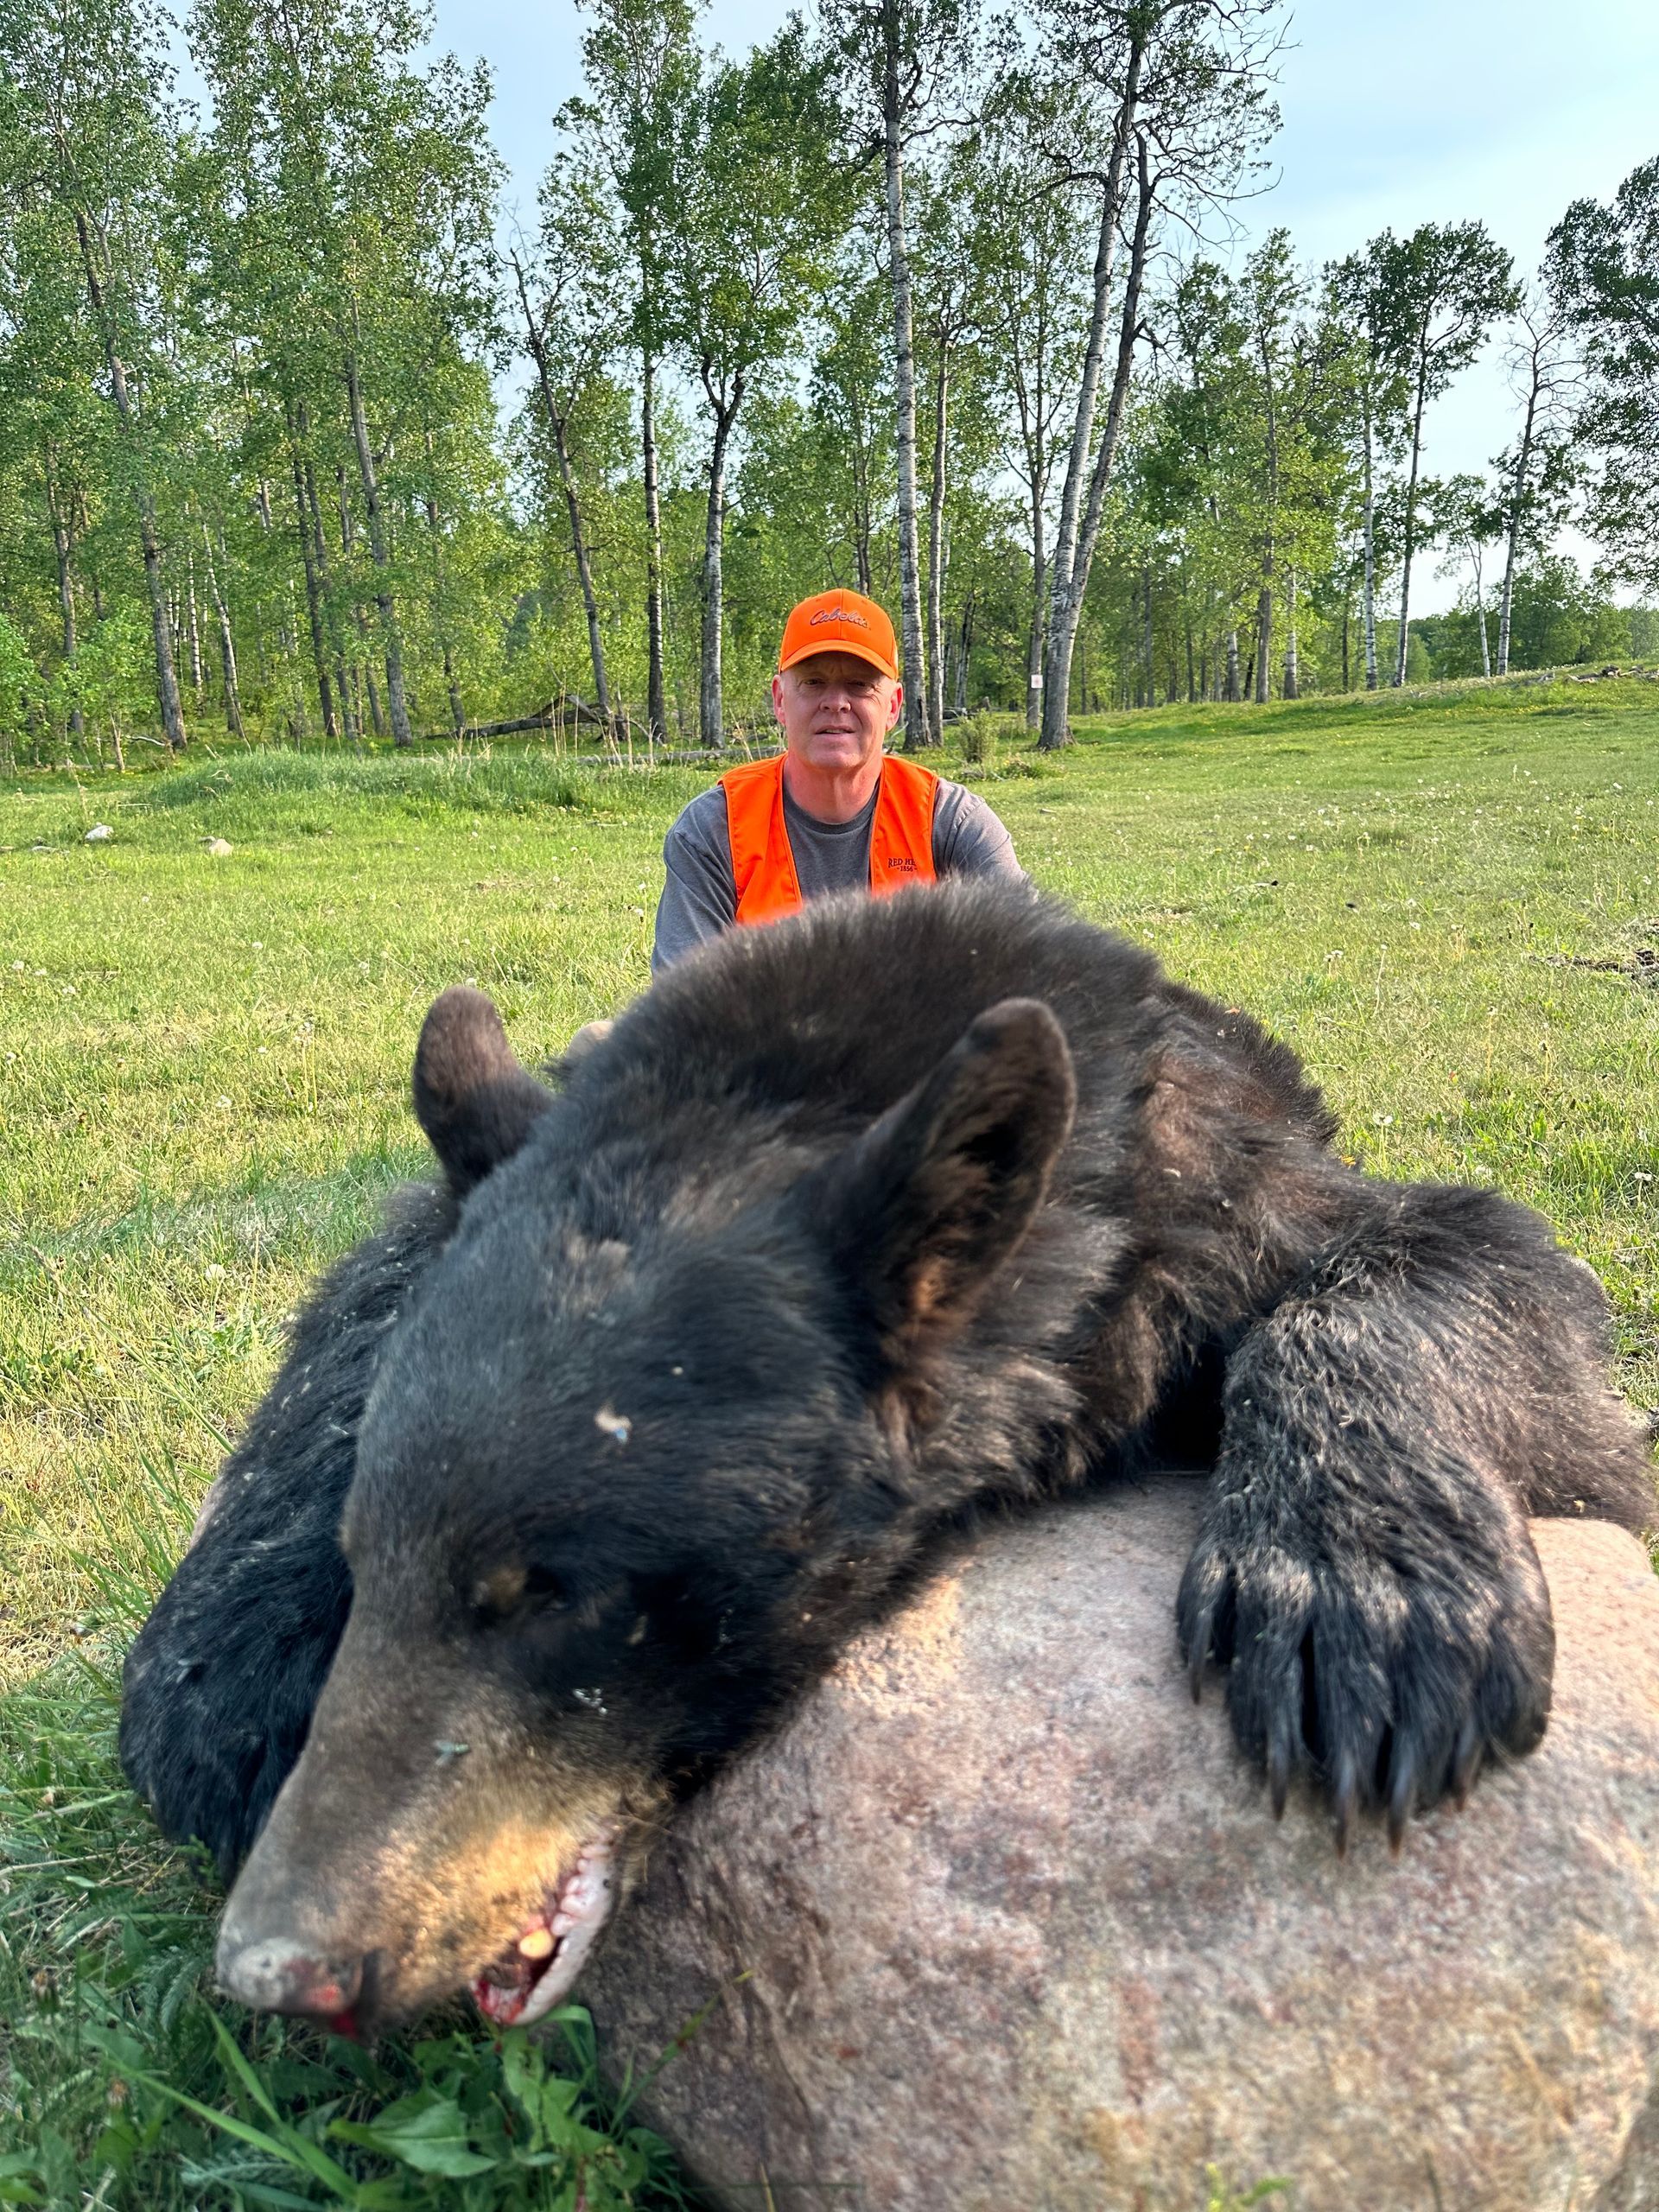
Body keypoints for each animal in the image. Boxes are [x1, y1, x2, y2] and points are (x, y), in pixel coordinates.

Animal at [119, 880, 1654, 2039]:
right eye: (365, 1556)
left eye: (558, 1592)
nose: (280, 1966)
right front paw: (229, 1665)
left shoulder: (1215, 1193)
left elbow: (1484, 1272)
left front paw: (1365, 1605)